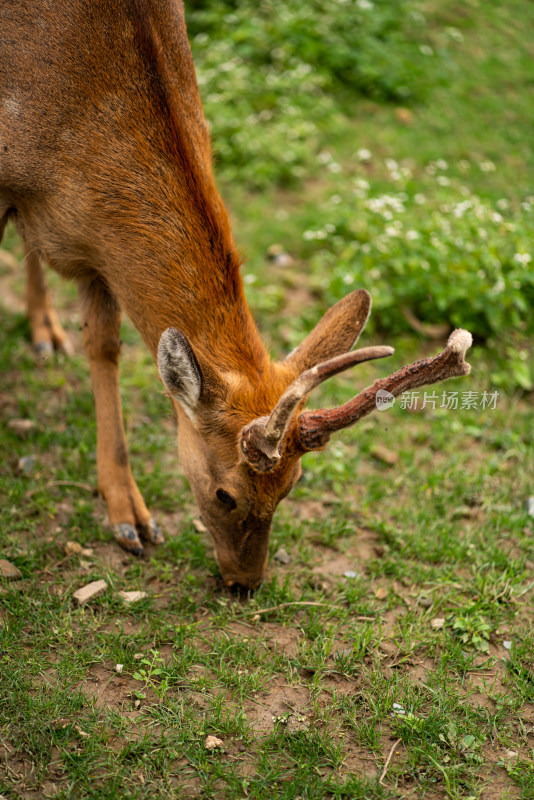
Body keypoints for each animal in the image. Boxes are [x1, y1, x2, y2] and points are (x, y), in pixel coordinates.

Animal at [0, 0, 474, 588]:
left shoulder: (97, 254)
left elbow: (104, 347)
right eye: (225, 494)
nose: (246, 583)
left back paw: (45, 330)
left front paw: (130, 516)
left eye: (293, 485)